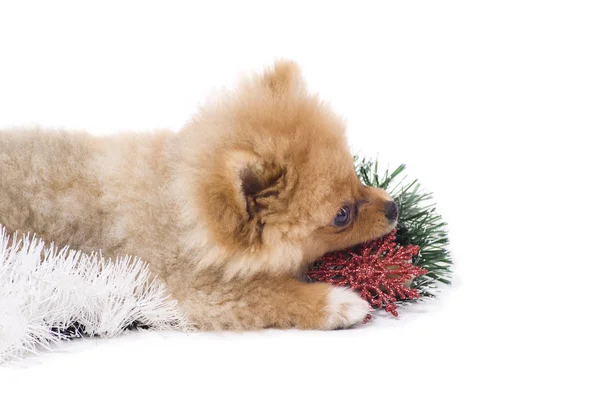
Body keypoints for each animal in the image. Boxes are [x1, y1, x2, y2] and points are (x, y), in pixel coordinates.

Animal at [2, 61, 400, 332]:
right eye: (342, 214)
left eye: (358, 178)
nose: (395, 207)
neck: (179, 203)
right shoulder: (195, 290)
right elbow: (273, 293)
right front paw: (340, 303)